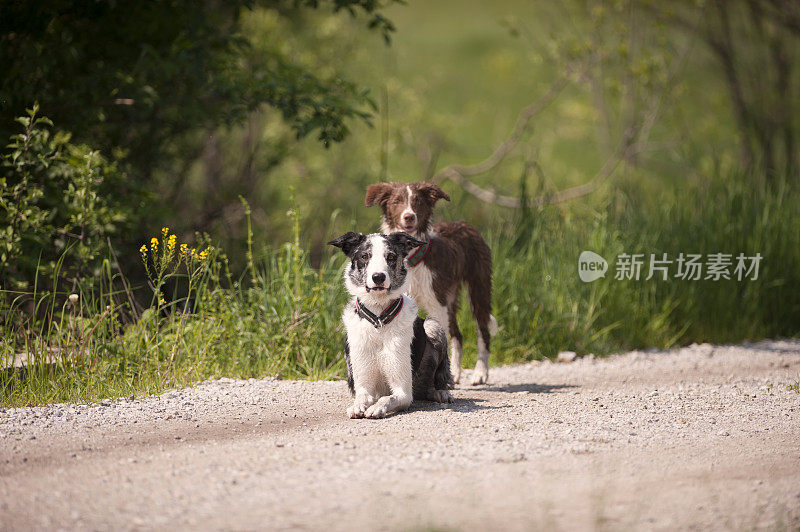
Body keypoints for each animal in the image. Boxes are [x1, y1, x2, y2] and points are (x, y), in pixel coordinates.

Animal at [328, 231, 454, 418]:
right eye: (364, 256)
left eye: (391, 257)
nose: (378, 277)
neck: (378, 318)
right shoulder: (364, 385)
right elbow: (362, 396)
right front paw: (357, 406)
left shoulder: (404, 392)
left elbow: (387, 398)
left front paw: (377, 407)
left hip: (433, 326)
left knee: (433, 384)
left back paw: (440, 393)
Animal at [366, 181, 496, 384]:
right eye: (396, 202)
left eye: (418, 202)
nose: (409, 216)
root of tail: (465, 224)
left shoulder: (436, 305)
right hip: (449, 296)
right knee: (457, 335)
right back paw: (456, 373)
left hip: (478, 287)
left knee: (483, 331)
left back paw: (480, 373)